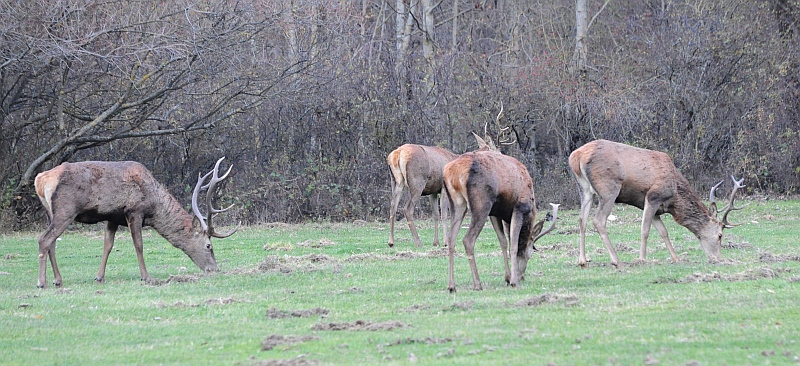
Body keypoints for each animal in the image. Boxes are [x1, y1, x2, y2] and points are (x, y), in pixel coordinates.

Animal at [34, 156, 234, 288]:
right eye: (208, 245)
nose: (214, 269)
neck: (154, 204)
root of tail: (40, 180)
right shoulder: (134, 211)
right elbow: (139, 244)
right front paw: (146, 277)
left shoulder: (112, 217)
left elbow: (108, 245)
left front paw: (99, 277)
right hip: (66, 209)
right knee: (44, 239)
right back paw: (42, 282)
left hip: (50, 212)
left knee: (51, 242)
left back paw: (57, 279)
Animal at [440, 134, 560, 292]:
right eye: (530, 253)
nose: (522, 276)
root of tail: (452, 171)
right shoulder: (519, 208)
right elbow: (513, 245)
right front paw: (514, 281)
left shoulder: (495, 213)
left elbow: (503, 241)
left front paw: (508, 277)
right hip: (481, 203)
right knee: (468, 240)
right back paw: (477, 284)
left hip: (457, 203)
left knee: (451, 239)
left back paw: (451, 286)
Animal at [568, 139, 744, 268]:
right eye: (720, 235)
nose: (718, 258)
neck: (674, 198)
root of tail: (576, 157)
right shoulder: (653, 197)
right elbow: (645, 230)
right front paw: (642, 259)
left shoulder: (656, 209)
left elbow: (663, 232)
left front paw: (676, 258)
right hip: (608, 189)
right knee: (598, 220)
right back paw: (616, 260)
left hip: (585, 189)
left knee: (581, 219)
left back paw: (582, 260)